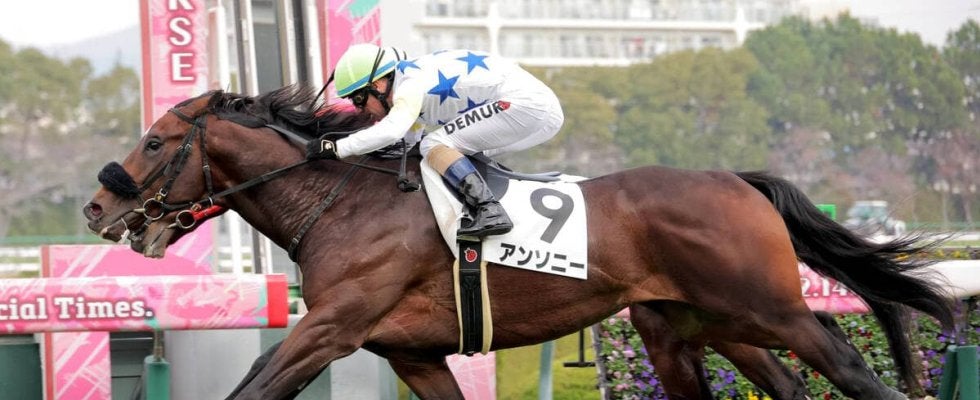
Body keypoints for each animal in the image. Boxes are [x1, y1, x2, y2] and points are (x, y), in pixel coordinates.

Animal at [82, 85, 954, 399]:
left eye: (156, 141)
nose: (95, 208)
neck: (340, 203)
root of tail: (737, 180)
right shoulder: (412, 353)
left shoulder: (330, 329)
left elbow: (256, 385)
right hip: (697, 325)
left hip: (769, 309)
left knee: (847, 365)